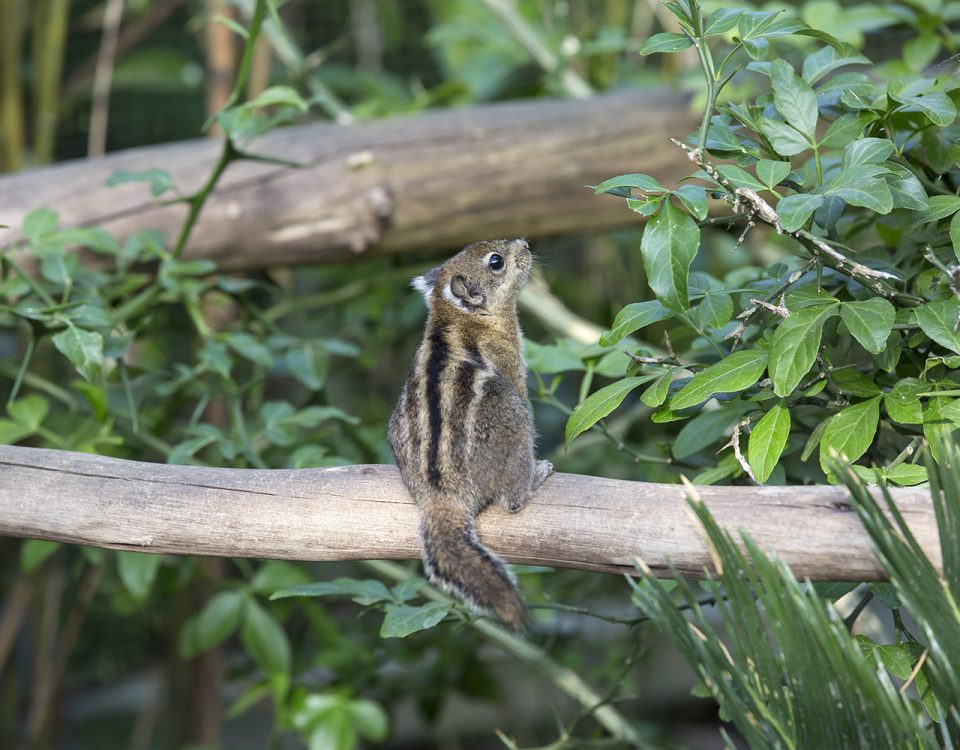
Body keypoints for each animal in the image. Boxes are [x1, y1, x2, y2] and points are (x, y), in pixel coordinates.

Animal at [388, 241, 556, 628]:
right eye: (496, 262)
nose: (525, 243)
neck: (458, 317)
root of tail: (440, 494)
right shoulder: (513, 369)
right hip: (513, 422)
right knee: (512, 499)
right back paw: (536, 476)